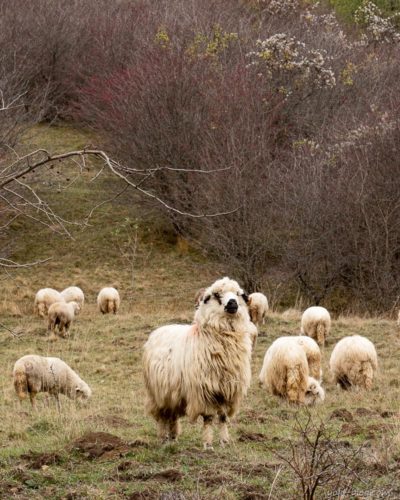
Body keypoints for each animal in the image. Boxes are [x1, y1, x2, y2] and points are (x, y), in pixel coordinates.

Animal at [142, 278, 252, 450]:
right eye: (217, 295)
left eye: (238, 294)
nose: (233, 303)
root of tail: (158, 331)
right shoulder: (205, 390)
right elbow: (208, 418)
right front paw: (208, 444)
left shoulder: (226, 390)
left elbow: (222, 417)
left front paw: (224, 442)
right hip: (157, 392)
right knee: (162, 416)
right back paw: (163, 438)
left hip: (172, 392)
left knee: (172, 415)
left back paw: (173, 437)